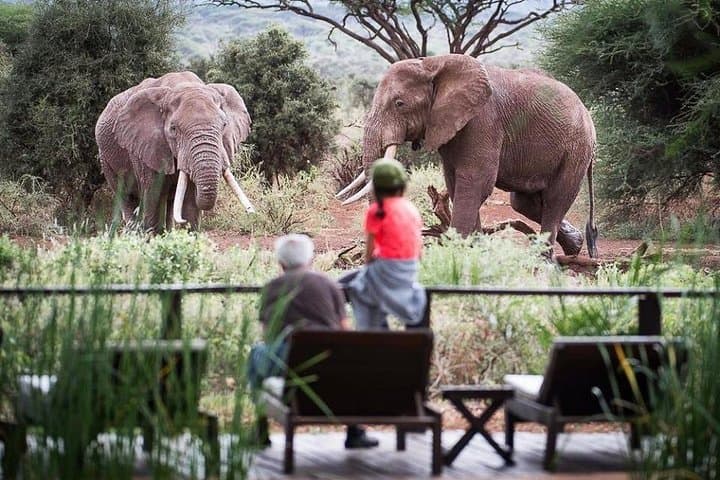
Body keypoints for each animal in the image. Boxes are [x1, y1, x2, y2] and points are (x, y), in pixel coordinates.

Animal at [95, 71, 255, 234]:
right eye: (173, 129)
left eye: (224, 125)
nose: (250, 212)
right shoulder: (144, 148)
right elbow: (153, 196)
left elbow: (190, 202)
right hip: (106, 159)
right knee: (126, 197)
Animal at [336, 54, 598, 258]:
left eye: (399, 103)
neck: (432, 64)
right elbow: (456, 186)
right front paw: (476, 252)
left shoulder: (483, 122)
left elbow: (475, 183)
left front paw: (457, 258)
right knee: (525, 202)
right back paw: (575, 245)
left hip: (576, 149)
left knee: (555, 200)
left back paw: (542, 262)